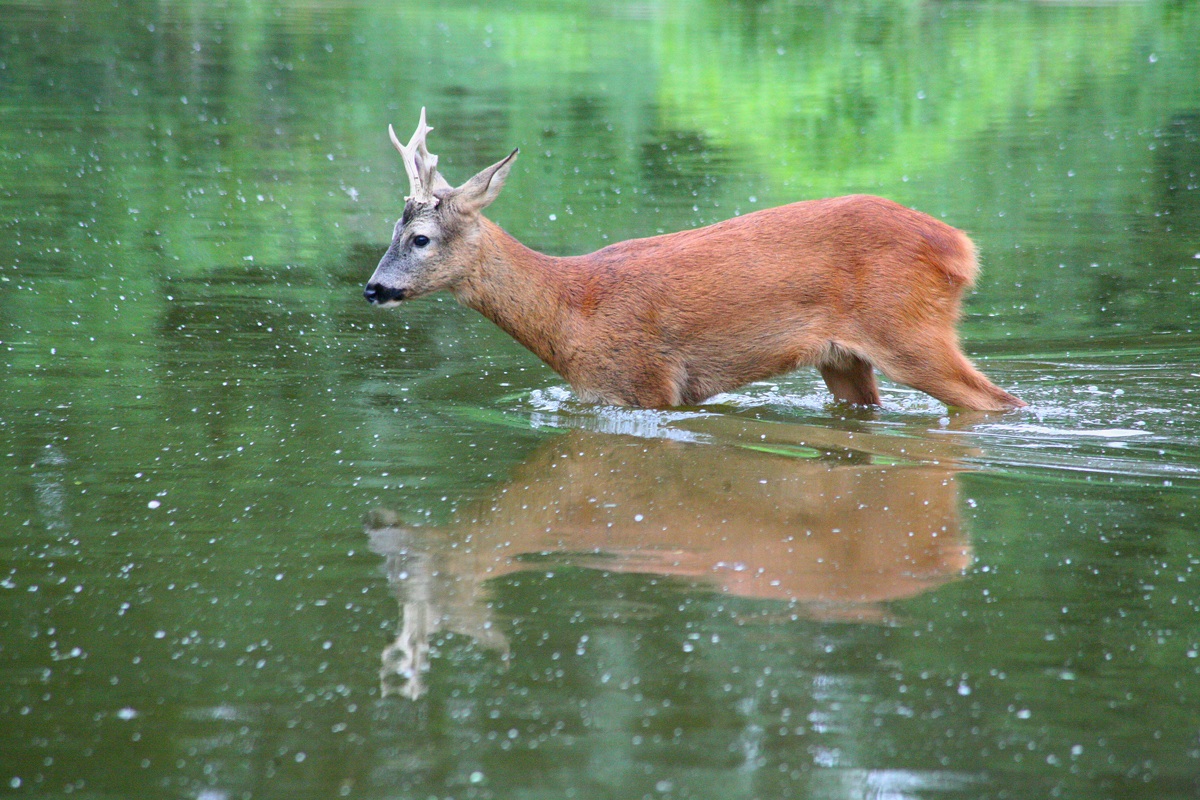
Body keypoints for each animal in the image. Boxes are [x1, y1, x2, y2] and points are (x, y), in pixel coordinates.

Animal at [363, 109, 1026, 411]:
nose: (373, 288)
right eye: (393, 230)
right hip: (843, 359)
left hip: (909, 329)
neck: (569, 313)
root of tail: (961, 248)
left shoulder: (644, 384)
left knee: (1000, 402)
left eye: (419, 238)